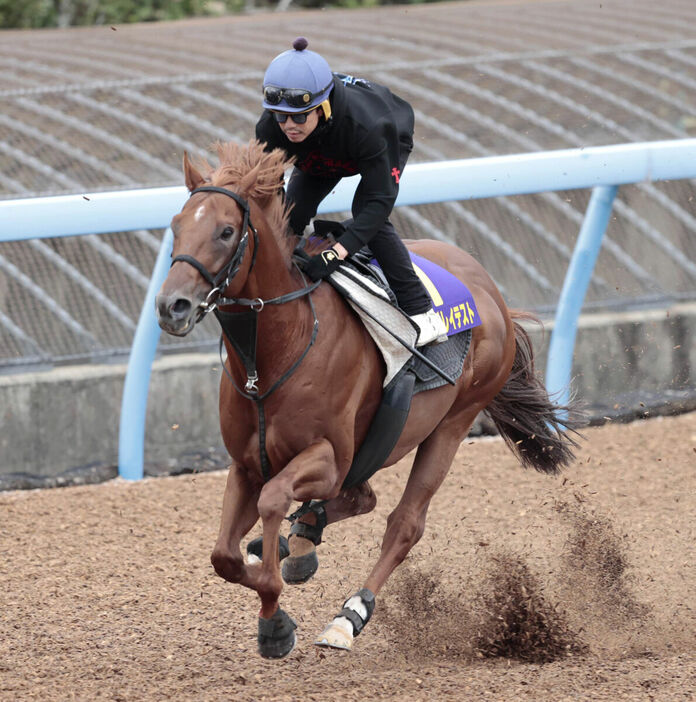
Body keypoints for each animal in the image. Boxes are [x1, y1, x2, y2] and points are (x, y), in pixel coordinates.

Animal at [155, 142, 580, 660]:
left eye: (225, 231)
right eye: (176, 225)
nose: (171, 306)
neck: (277, 353)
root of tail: (493, 295)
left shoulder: (329, 457)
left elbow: (275, 499)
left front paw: (274, 620)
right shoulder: (245, 463)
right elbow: (224, 556)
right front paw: (273, 581)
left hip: (452, 422)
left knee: (404, 523)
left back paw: (347, 615)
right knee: (361, 497)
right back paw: (301, 538)